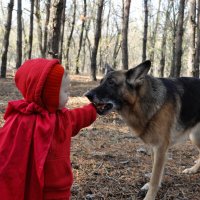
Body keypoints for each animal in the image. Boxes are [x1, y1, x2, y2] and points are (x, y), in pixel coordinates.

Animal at [85, 60, 200, 199]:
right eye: (101, 81)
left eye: (111, 82)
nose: (87, 95)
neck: (141, 101)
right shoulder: (155, 147)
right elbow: (155, 174)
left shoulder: (160, 148)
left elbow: (155, 178)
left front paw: (149, 196)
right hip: (194, 137)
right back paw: (193, 169)